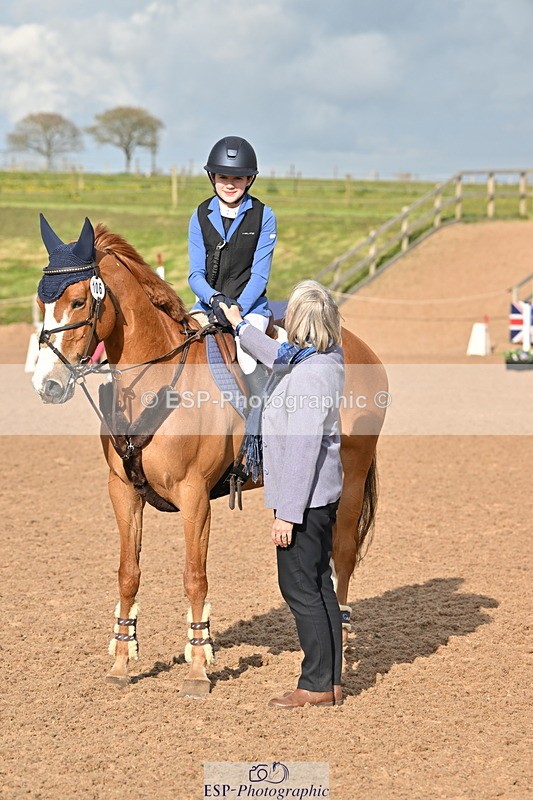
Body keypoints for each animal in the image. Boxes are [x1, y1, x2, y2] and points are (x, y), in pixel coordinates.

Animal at [32, 216, 388, 696]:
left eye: (78, 300)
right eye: (42, 301)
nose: (47, 385)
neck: (155, 383)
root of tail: (356, 345)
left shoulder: (195, 496)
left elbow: (194, 577)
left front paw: (198, 667)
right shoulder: (123, 492)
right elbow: (128, 572)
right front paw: (122, 660)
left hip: (350, 475)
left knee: (344, 551)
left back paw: (344, 644)